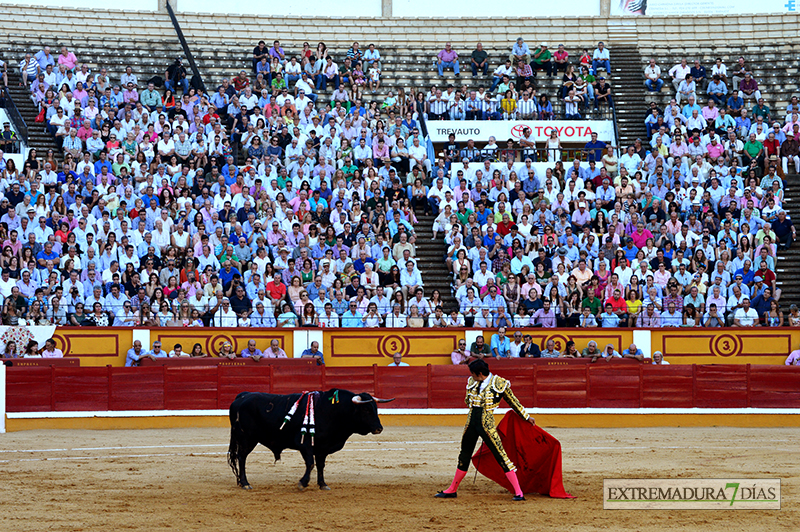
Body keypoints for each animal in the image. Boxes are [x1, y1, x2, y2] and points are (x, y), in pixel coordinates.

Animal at [227, 388, 392, 488]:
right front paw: (303, 483)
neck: (331, 411)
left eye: (375, 409)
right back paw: (245, 483)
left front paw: (323, 484)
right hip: (247, 439)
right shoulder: (304, 444)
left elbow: (320, 465)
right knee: (241, 457)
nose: (379, 428)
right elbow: (311, 463)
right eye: (366, 409)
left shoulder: (322, 447)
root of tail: (242, 396)